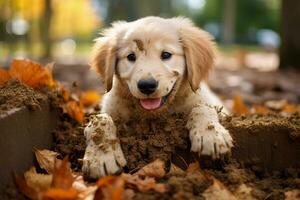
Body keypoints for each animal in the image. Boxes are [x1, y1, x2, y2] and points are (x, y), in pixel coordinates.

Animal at [82, 16, 234, 177]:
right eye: (131, 56)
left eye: (166, 55)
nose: (147, 85)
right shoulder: (111, 109)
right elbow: (100, 119)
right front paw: (100, 156)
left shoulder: (207, 102)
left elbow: (203, 107)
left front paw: (211, 135)